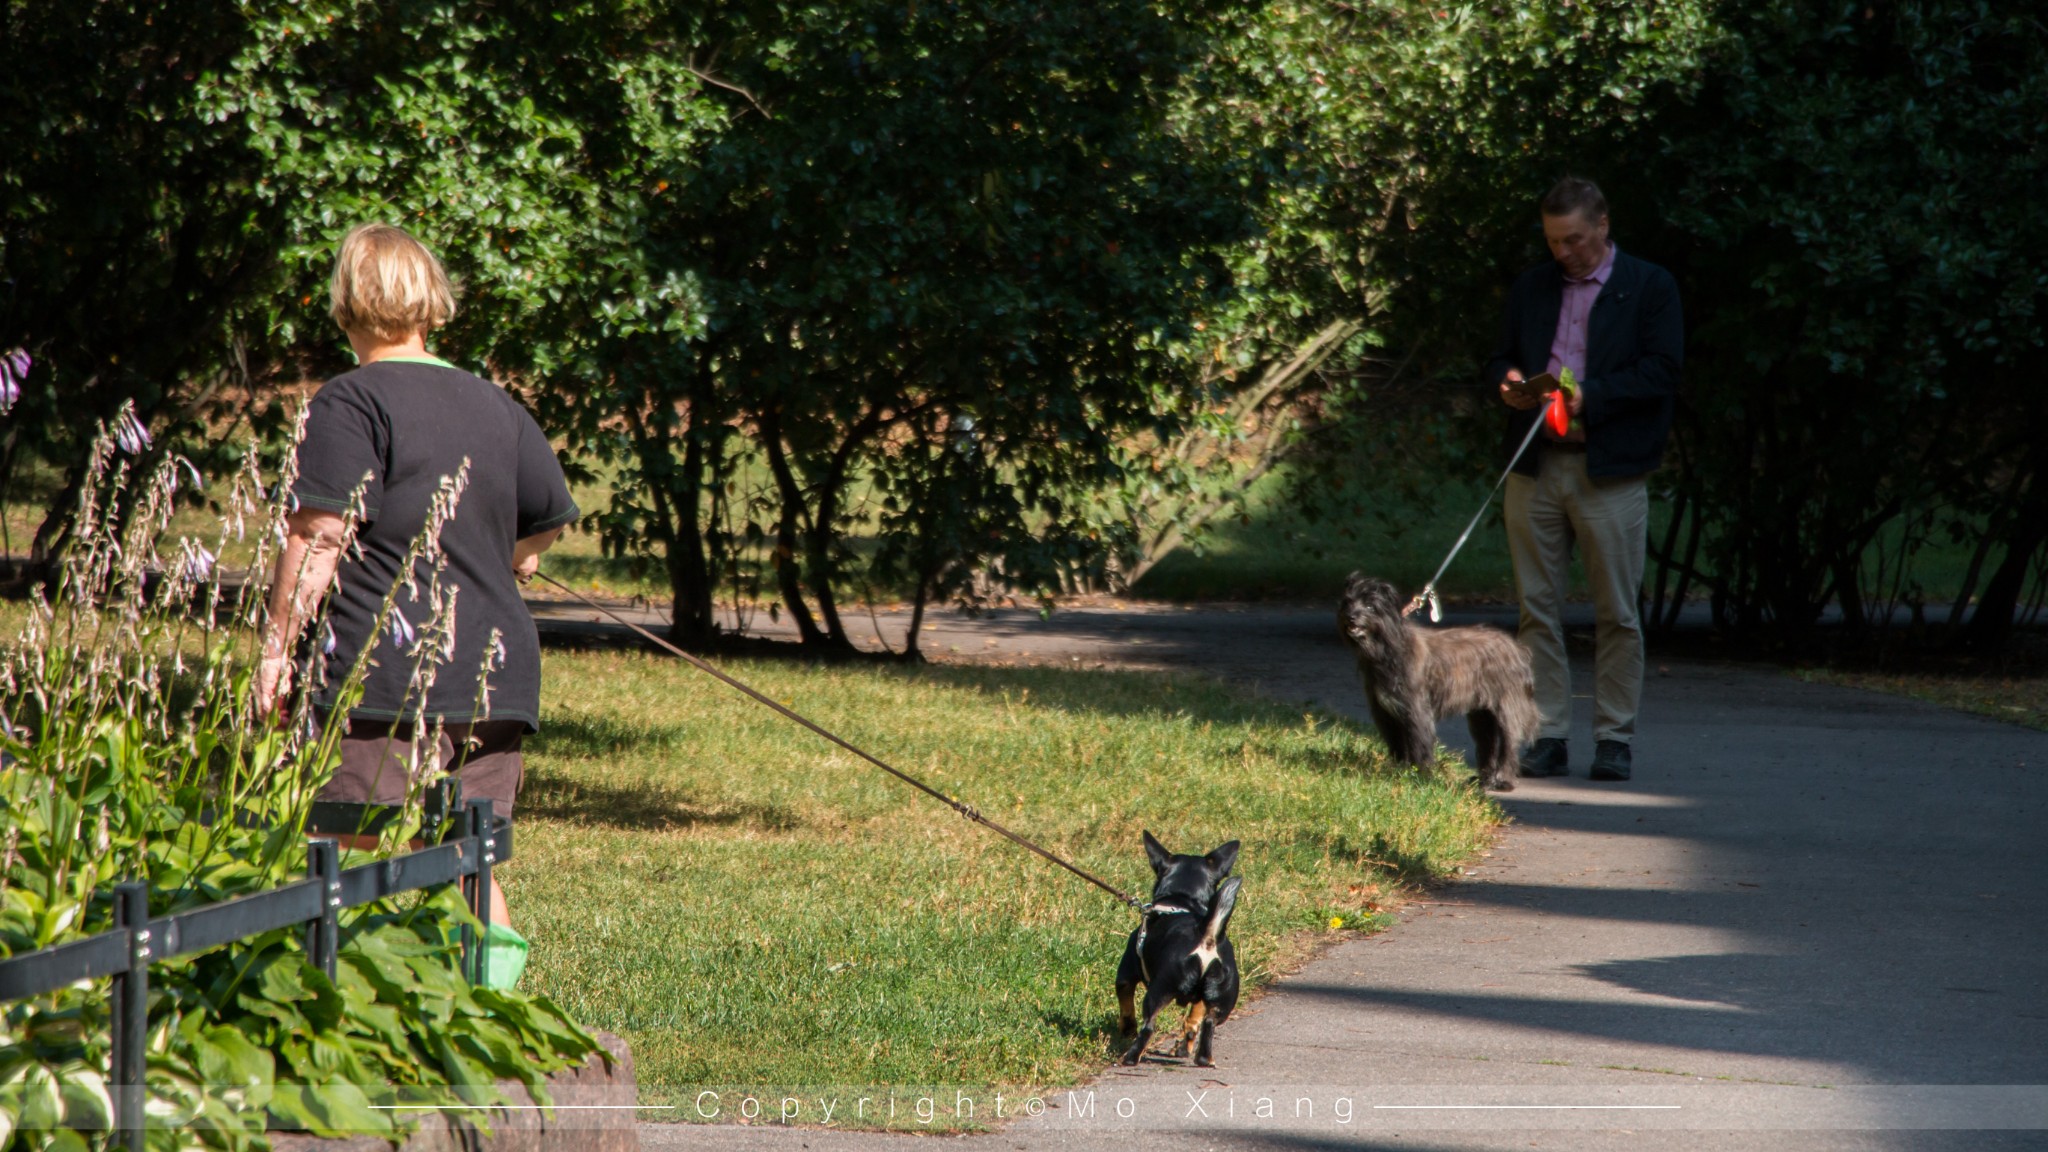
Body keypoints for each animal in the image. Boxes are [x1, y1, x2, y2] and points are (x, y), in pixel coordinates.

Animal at [1122, 828, 1245, 1065]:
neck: (1182, 900)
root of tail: (1207, 936)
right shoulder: (1202, 1000)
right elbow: (1193, 1019)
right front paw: (1183, 1046)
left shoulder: (1125, 975)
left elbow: (1126, 1006)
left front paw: (1127, 1029)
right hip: (1223, 999)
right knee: (1209, 1023)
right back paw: (1203, 1058)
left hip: (1158, 991)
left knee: (1148, 1026)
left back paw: (1130, 1056)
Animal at [1343, 573, 1540, 787]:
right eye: (1348, 602)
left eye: (1370, 606)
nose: (1350, 616)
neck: (1389, 648)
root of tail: (1516, 648)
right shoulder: (1388, 715)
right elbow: (1398, 744)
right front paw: (1399, 771)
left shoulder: (1416, 711)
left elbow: (1419, 743)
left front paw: (1420, 775)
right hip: (1482, 714)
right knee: (1488, 743)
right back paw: (1484, 780)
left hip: (1506, 707)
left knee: (1509, 743)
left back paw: (1503, 779)